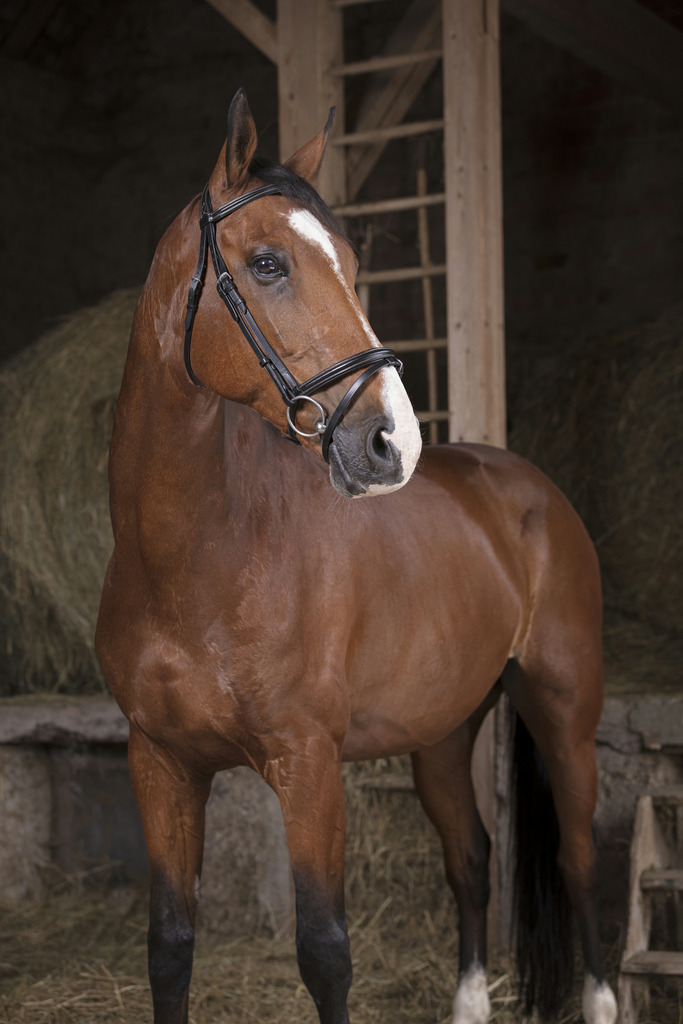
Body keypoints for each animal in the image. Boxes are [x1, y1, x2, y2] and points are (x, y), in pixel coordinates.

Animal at [95, 87, 618, 1024]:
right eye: (267, 263)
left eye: (344, 259)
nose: (391, 443)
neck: (196, 564)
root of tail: (524, 486)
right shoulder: (159, 766)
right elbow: (170, 949)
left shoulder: (307, 767)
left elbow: (325, 953)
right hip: (443, 733)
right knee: (471, 859)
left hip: (564, 709)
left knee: (576, 860)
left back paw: (599, 1003)